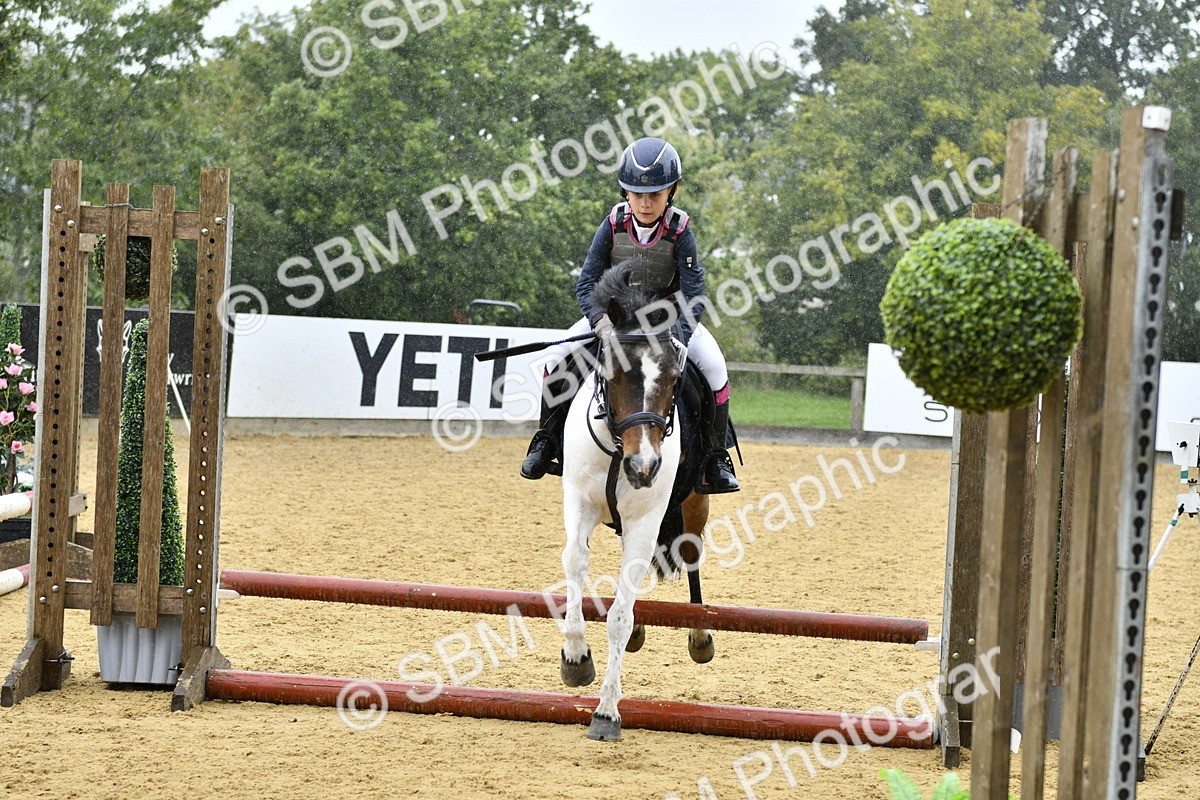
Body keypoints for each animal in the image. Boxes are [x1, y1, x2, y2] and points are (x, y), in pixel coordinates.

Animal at [556, 259, 714, 742]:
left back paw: (700, 636)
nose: (644, 467)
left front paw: (606, 713)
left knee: (690, 555)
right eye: (612, 372)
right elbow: (575, 562)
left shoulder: (647, 518)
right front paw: (576, 658)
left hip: (694, 506)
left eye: (674, 378)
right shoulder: (580, 503)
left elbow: (619, 618)